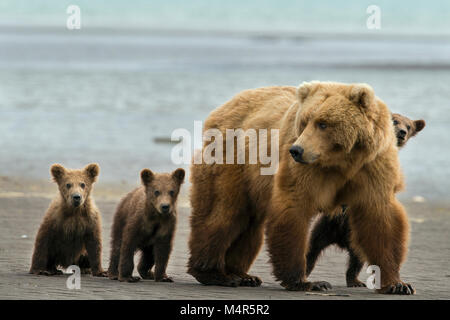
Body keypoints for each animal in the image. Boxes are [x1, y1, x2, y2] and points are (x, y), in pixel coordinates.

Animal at [187, 81, 414, 294]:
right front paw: (308, 282)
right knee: (224, 212)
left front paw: (397, 284)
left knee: (249, 225)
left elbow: (380, 218)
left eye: (323, 123)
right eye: (305, 121)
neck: (343, 161)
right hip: (233, 161)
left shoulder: (372, 166)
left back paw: (242, 275)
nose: (296, 150)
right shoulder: (306, 170)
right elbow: (293, 208)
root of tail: (222, 108)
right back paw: (215, 273)